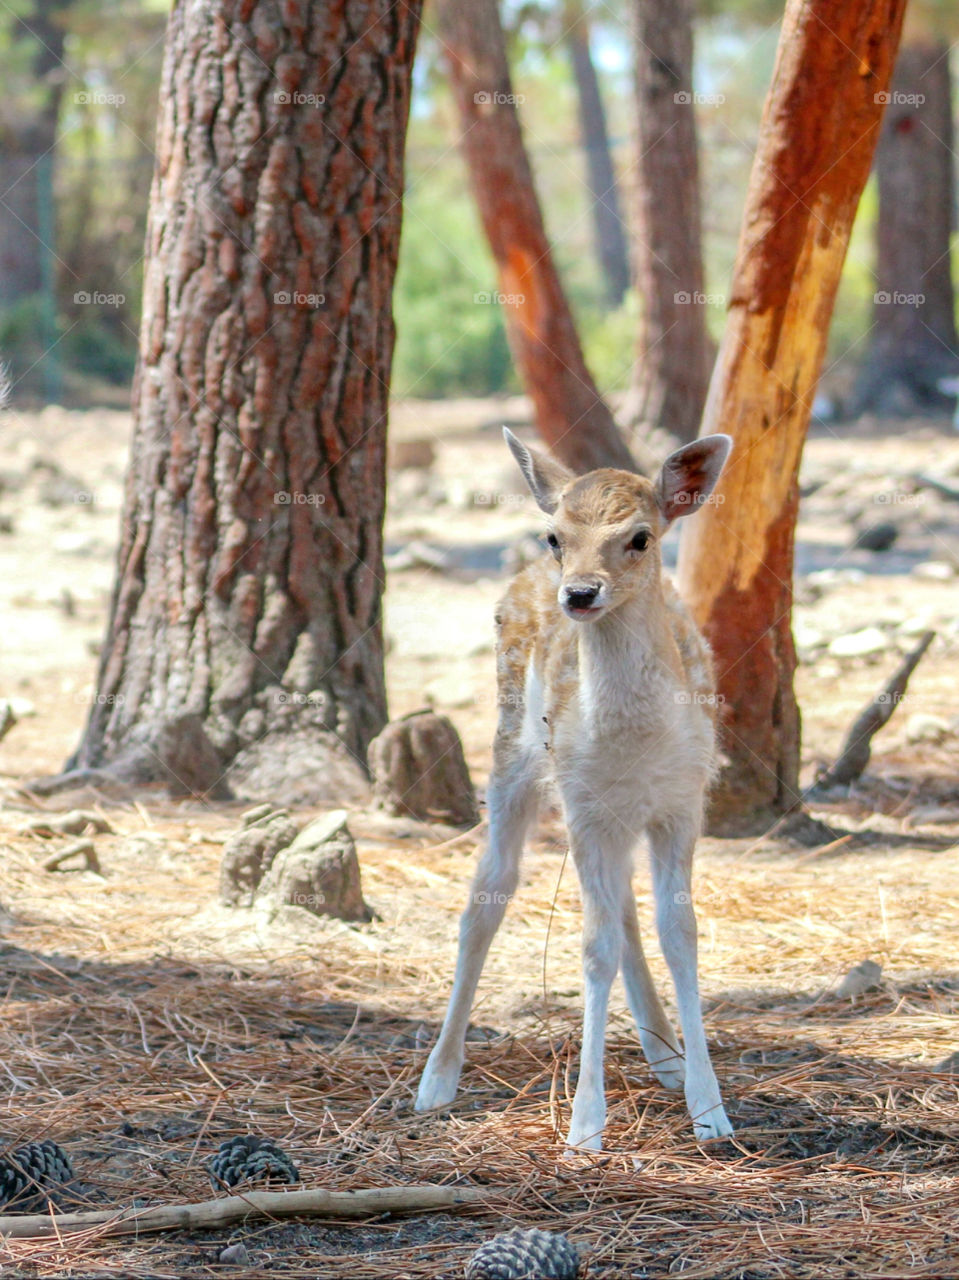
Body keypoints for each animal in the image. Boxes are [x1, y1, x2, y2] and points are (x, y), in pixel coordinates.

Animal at [415, 428, 734, 1150]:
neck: (635, 744)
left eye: (640, 536)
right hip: (514, 756)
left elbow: (680, 933)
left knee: (623, 910)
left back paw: (666, 1056)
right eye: (556, 534)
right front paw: (586, 1126)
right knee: (486, 898)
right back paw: (435, 1080)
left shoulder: (682, 803)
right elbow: (592, 948)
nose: (581, 593)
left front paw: (710, 1109)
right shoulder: (586, 807)